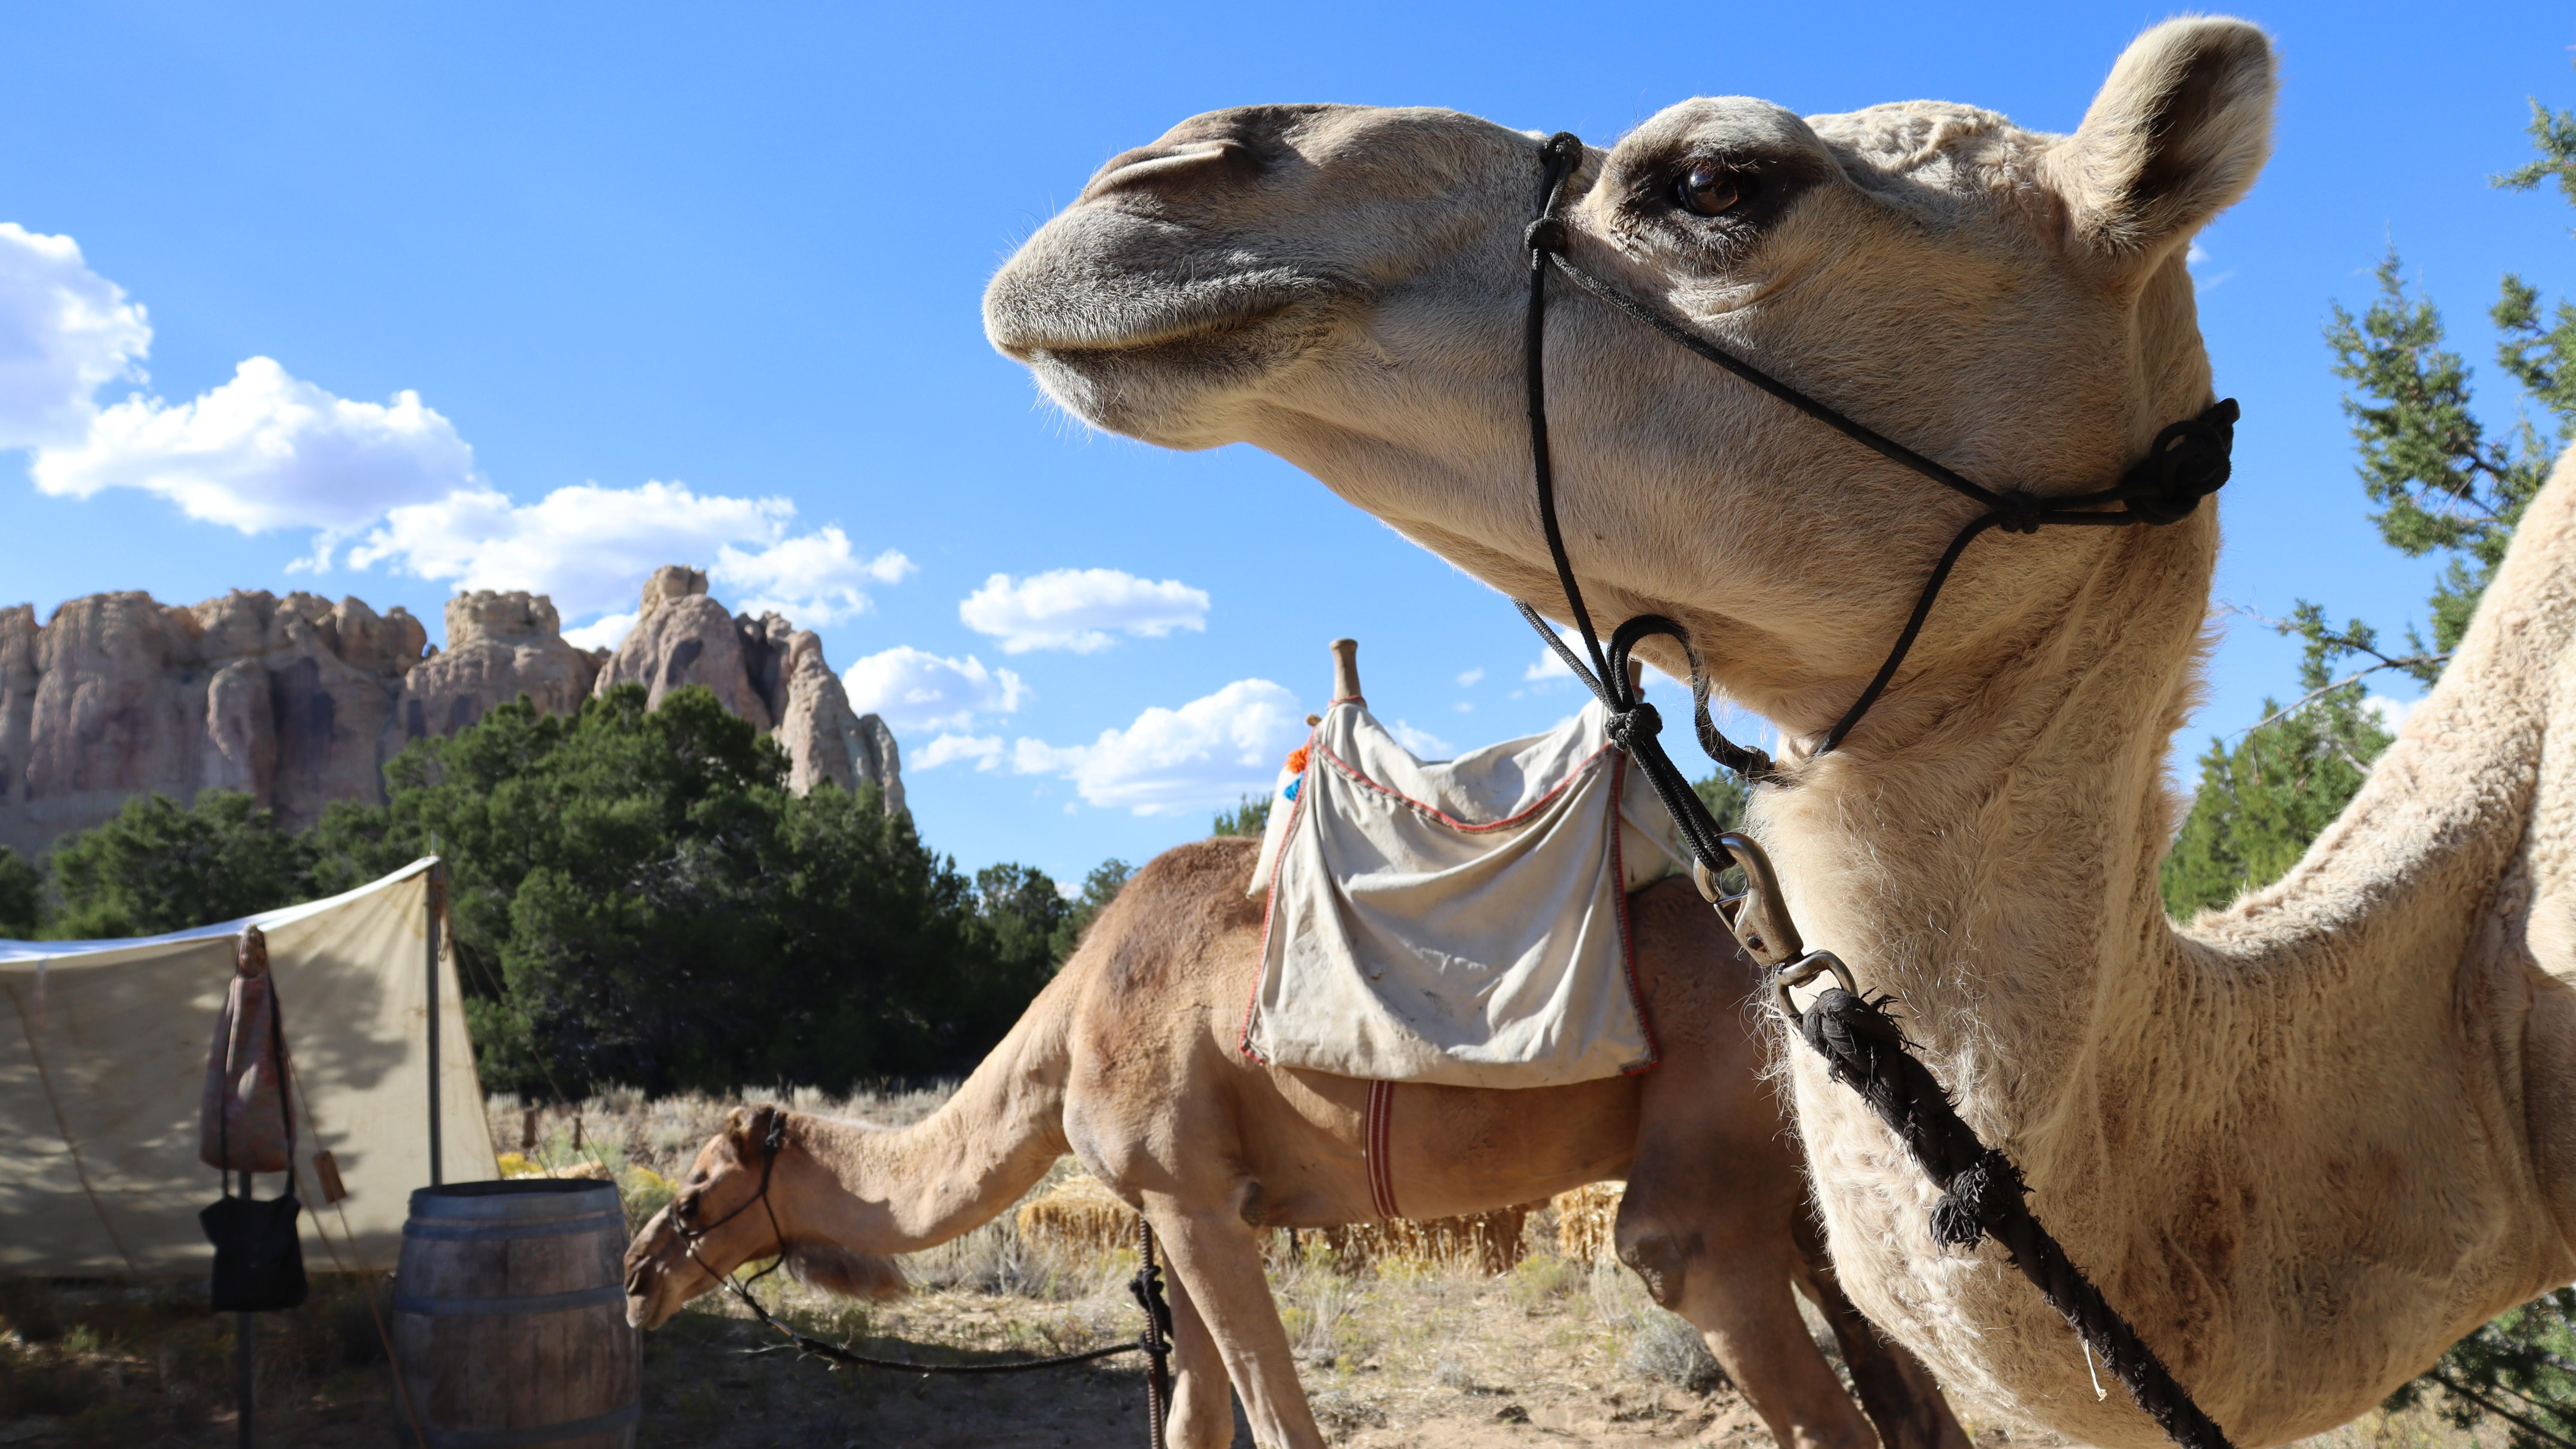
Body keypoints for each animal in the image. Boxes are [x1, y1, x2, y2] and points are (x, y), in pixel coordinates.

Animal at [625, 829, 1970, 1449]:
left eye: (700, 1179)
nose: (638, 1274)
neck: (1070, 1024)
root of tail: (1795, 948)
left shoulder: (1190, 1198)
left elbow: (1278, 1421)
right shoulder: (1195, 1212)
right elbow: (1194, 1420)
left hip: (1711, 1144)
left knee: (1710, 1286)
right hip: (1797, 1177)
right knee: (1904, 1385)